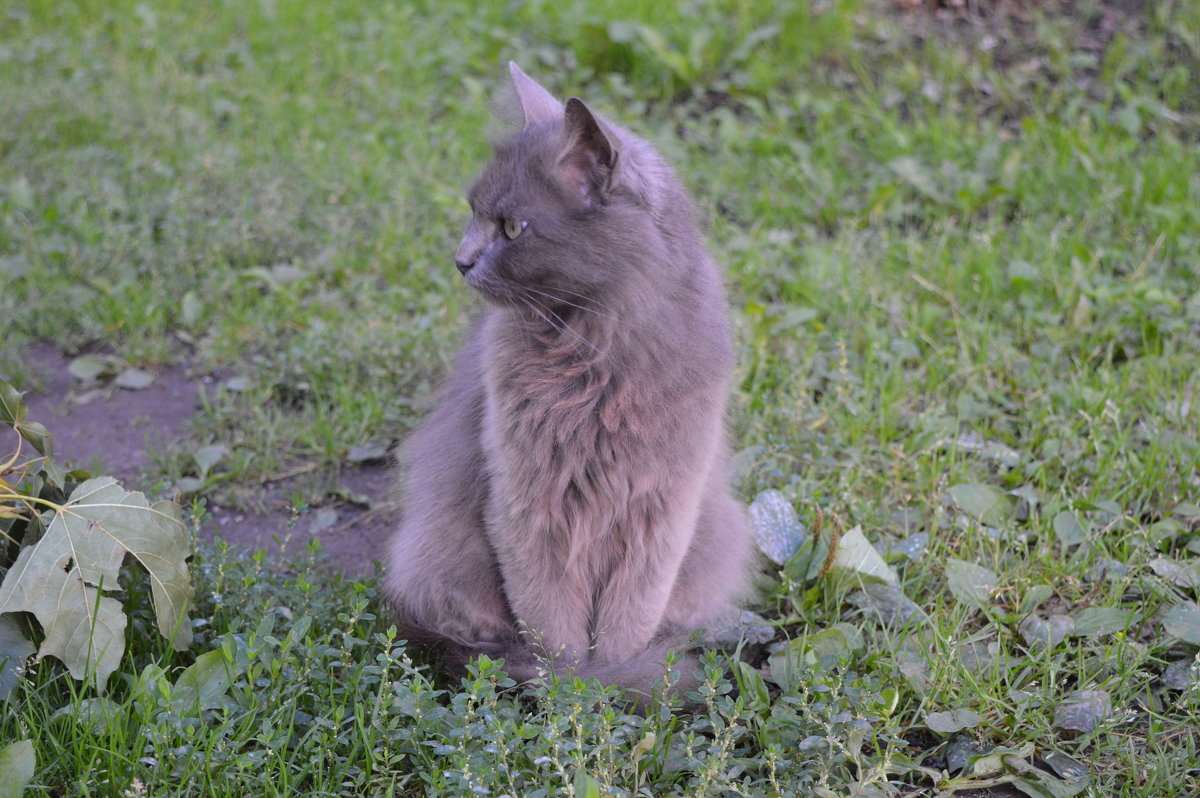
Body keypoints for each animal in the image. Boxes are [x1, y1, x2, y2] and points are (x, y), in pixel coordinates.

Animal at [384, 65, 748, 696]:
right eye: (472, 212)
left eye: (512, 226)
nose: (460, 260)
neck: (593, 353)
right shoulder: (530, 505)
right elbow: (551, 620)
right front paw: (573, 685)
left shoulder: (659, 511)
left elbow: (629, 619)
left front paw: (609, 681)